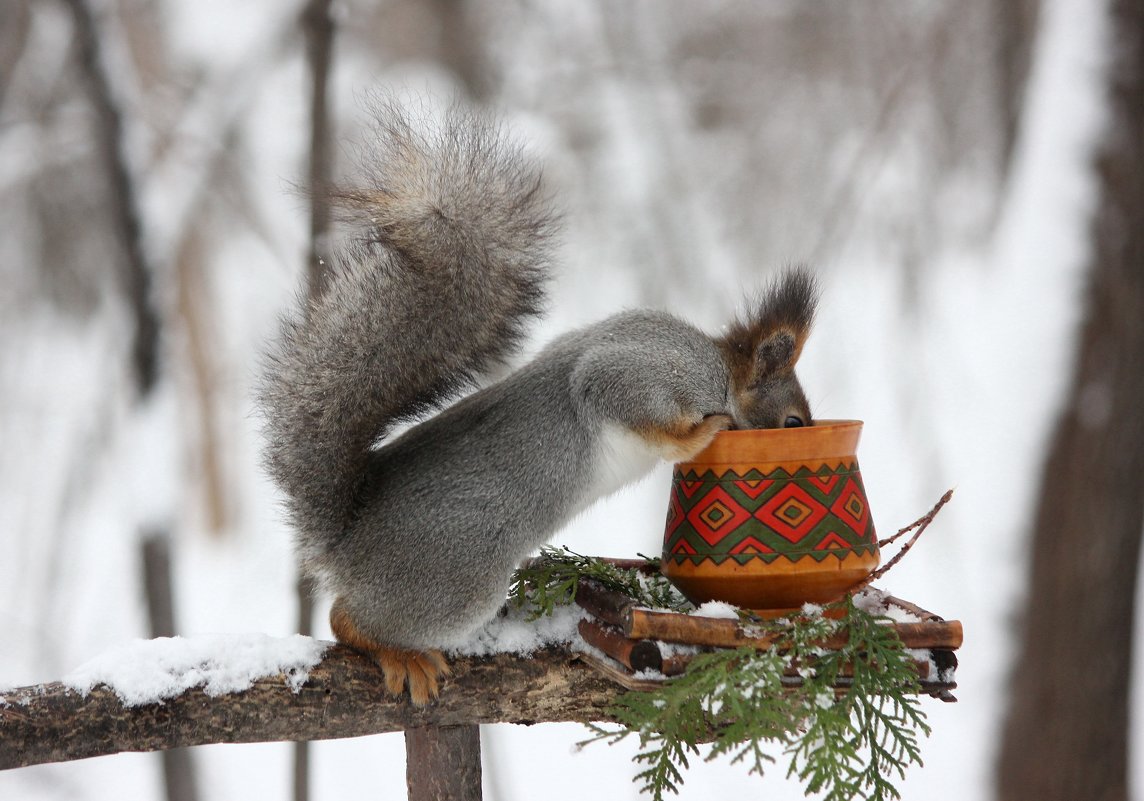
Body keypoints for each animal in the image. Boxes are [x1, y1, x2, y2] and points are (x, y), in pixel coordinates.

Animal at [259, 98, 819, 700]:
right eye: (793, 421)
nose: (809, 435)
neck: (720, 374)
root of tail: (343, 545)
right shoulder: (649, 373)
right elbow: (622, 400)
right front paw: (704, 434)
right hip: (457, 581)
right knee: (348, 619)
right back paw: (399, 653)